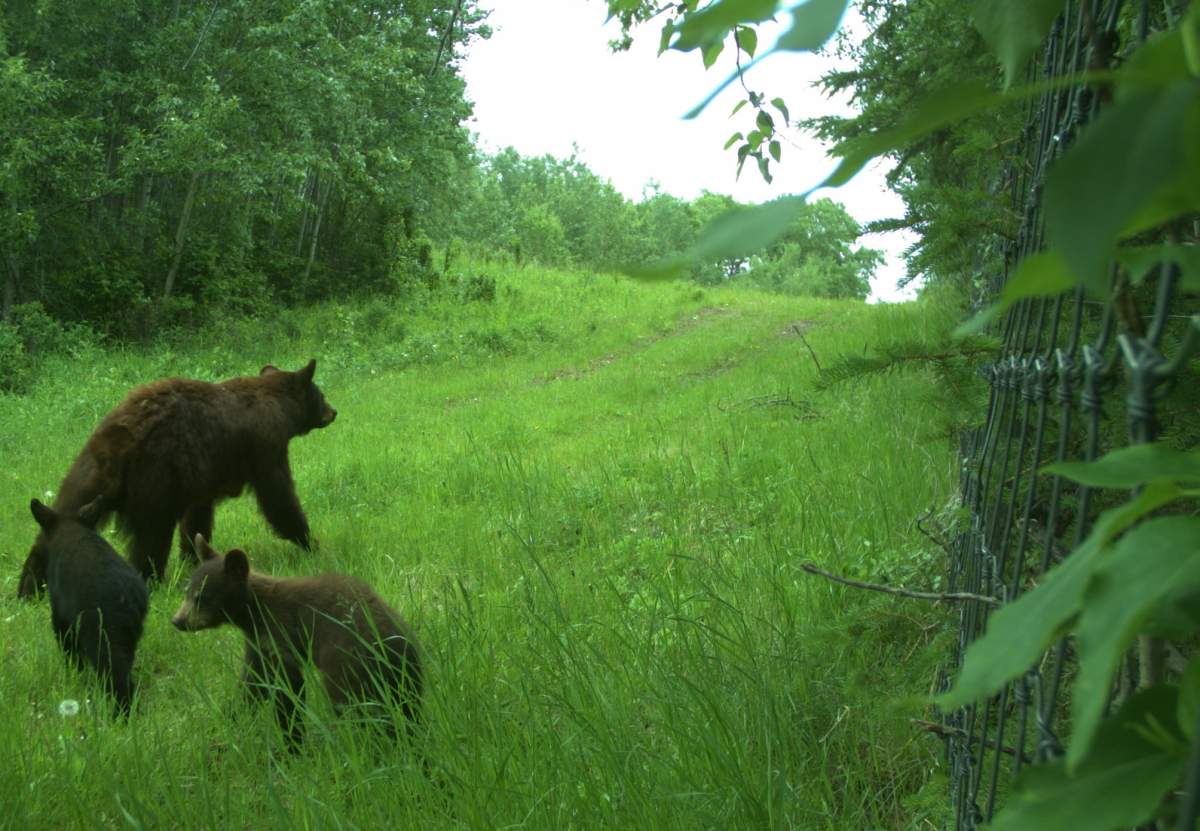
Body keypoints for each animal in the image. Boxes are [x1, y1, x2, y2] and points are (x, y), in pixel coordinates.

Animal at [16, 359, 337, 598]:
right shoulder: (266, 446)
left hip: (85, 473)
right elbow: (278, 496)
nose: (334, 412)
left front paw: (194, 556)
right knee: (150, 539)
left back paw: (29, 588)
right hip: (154, 479)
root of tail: (119, 440)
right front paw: (311, 544)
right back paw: (151, 582)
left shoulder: (202, 475)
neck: (278, 403)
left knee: (57, 519)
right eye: (321, 395)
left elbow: (197, 517)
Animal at [31, 496, 149, 716]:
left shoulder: (61, 609)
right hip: (131, 632)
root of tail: (127, 597)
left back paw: (120, 715)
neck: (73, 529)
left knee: (116, 675)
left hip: (102, 630)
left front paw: (74, 672)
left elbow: (67, 643)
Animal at [171, 535, 423, 749]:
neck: (254, 613)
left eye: (202, 597)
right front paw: (231, 720)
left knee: (351, 703)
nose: (177, 621)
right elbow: (252, 682)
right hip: (404, 676)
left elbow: (288, 688)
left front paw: (291, 741)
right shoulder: (258, 643)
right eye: (187, 591)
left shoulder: (281, 633)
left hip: (344, 660)